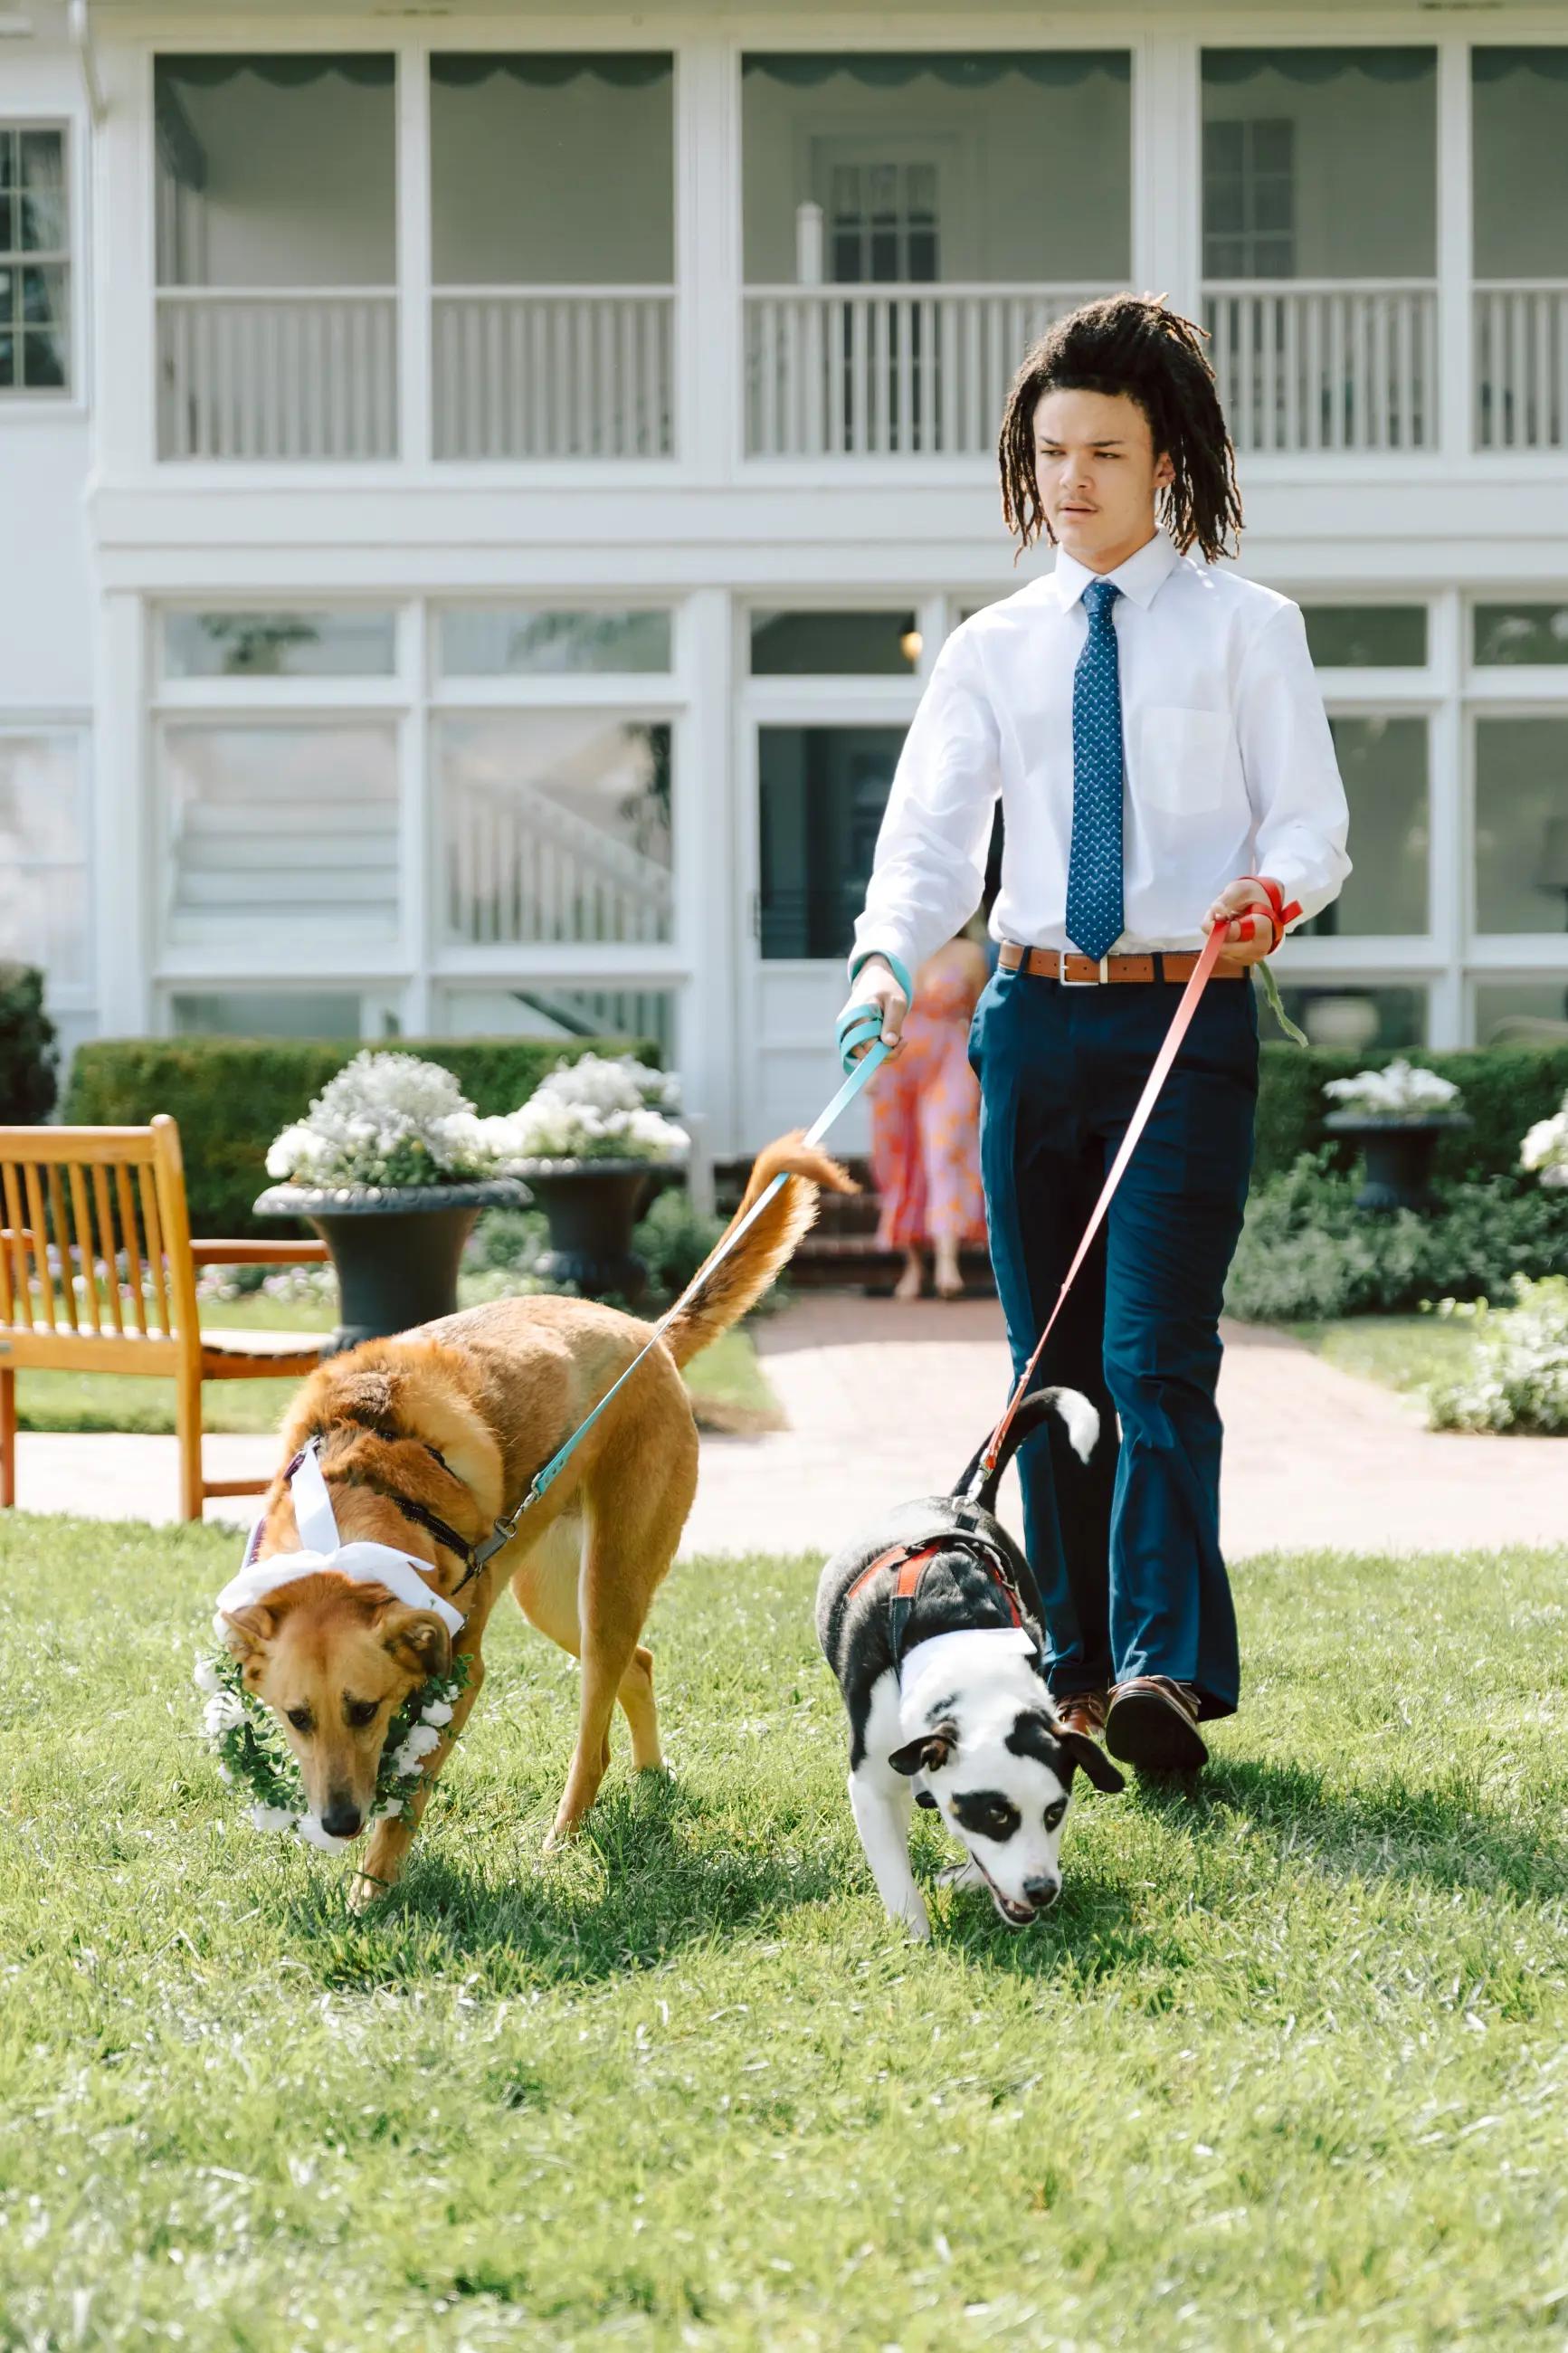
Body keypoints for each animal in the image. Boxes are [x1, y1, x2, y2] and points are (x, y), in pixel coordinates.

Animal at [219, 1138, 851, 1910]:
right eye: (296, 1717)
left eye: (365, 1710)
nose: (338, 1823)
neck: (357, 1485)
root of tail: (648, 1334)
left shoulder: (459, 1674)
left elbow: (405, 1803)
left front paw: (371, 1891)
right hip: (550, 1597)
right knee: (639, 1666)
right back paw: (652, 1781)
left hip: (608, 1585)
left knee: (595, 1733)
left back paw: (565, 1835)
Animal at [818, 1383, 1123, 1939]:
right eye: (996, 1815)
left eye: (1054, 1813)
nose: (1042, 1890)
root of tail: (963, 1498)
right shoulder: (870, 1782)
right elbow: (895, 1870)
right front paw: (913, 1936)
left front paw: (964, 1879)